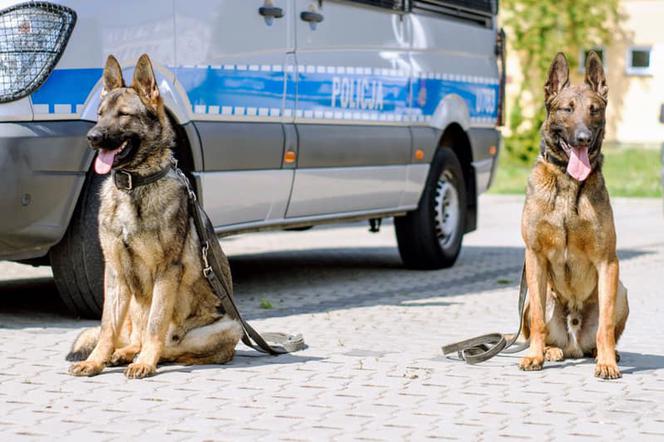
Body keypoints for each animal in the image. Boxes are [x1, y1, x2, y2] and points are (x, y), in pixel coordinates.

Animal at [67, 54, 243, 380]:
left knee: (174, 347)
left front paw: (146, 363)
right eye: (100, 114)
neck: (134, 184)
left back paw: (148, 357)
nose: (91, 137)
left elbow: (156, 324)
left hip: (229, 326)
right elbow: (107, 327)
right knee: (133, 336)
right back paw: (123, 353)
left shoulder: (167, 271)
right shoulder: (115, 273)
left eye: (124, 115)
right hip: (132, 304)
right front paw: (96, 361)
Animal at [520, 50, 628, 378]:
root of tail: (574, 343)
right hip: (534, 294)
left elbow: (605, 326)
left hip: (621, 289)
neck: (568, 183)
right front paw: (535, 356)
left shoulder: (608, 262)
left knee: (603, 331)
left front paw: (607, 362)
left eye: (594, 110)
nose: (582, 138)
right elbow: (538, 320)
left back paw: (604, 354)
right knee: (541, 327)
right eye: (567, 109)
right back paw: (549, 350)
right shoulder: (534, 257)